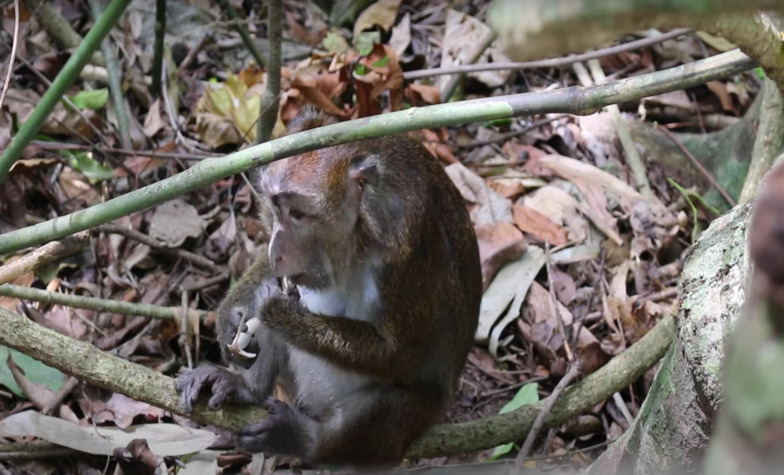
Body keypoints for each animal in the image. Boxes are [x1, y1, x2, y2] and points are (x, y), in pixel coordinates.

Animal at [178, 111, 484, 468]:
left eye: (298, 214)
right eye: (274, 208)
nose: (276, 251)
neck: (360, 236)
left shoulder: (410, 251)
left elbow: (400, 355)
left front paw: (277, 310)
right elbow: (272, 284)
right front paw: (235, 310)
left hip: (422, 412)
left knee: (389, 405)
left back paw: (306, 440)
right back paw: (245, 388)